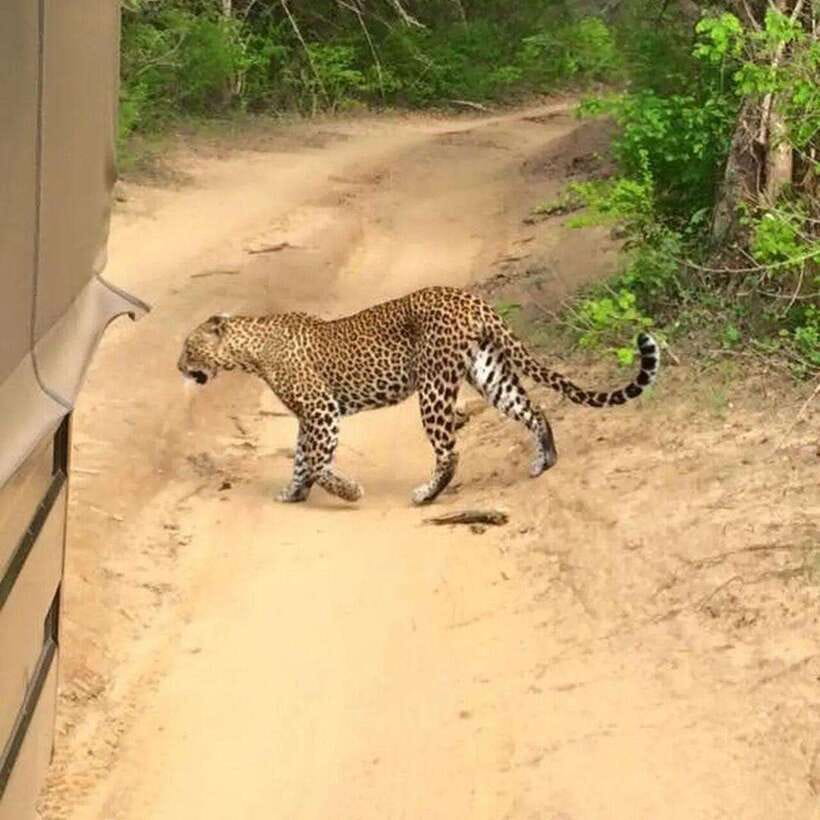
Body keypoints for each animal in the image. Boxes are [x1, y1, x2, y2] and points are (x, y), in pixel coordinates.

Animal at [177, 286, 659, 506]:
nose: (179, 367)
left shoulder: (321, 410)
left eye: (188, 347)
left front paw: (347, 491)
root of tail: (472, 299)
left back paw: (426, 494)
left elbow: (315, 460)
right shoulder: (308, 417)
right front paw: (293, 493)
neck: (251, 351)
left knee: (450, 452)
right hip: (489, 371)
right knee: (535, 410)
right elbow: (301, 458)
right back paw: (545, 462)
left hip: (434, 386)